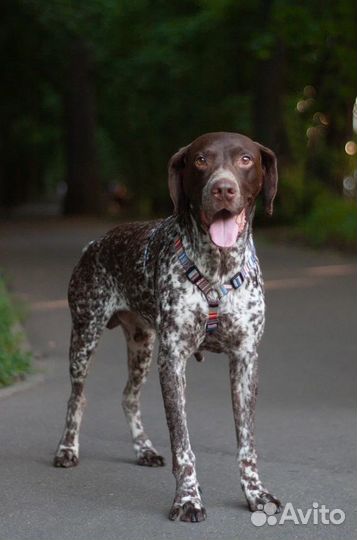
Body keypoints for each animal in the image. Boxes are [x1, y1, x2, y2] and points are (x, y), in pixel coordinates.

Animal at [53, 132, 280, 524]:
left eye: (246, 159)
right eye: (201, 160)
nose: (223, 189)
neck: (217, 268)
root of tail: (95, 243)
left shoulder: (244, 361)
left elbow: (246, 442)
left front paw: (256, 493)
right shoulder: (172, 360)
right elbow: (183, 444)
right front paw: (188, 499)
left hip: (142, 346)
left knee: (128, 397)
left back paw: (143, 448)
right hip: (85, 338)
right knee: (77, 397)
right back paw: (68, 449)